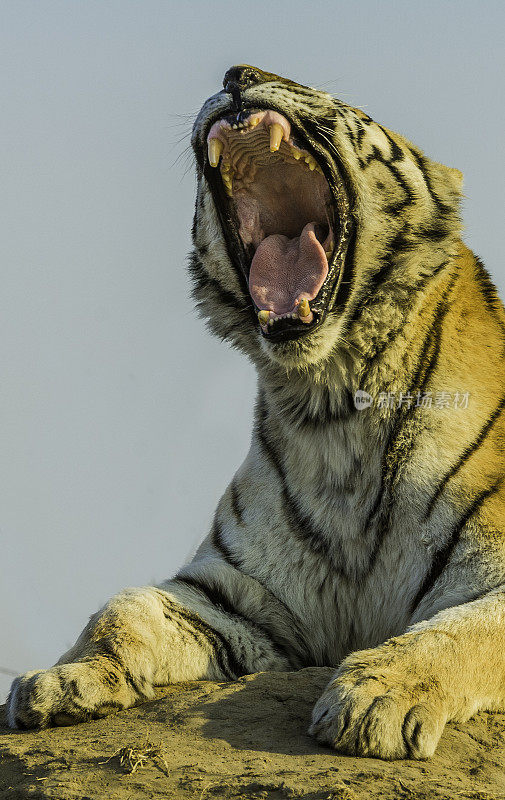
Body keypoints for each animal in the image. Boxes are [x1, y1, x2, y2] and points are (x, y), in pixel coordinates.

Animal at [6, 64, 504, 764]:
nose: (238, 73)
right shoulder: (244, 596)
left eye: (332, 97)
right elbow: (124, 609)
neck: (332, 408)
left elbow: (459, 630)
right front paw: (60, 682)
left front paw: (373, 700)